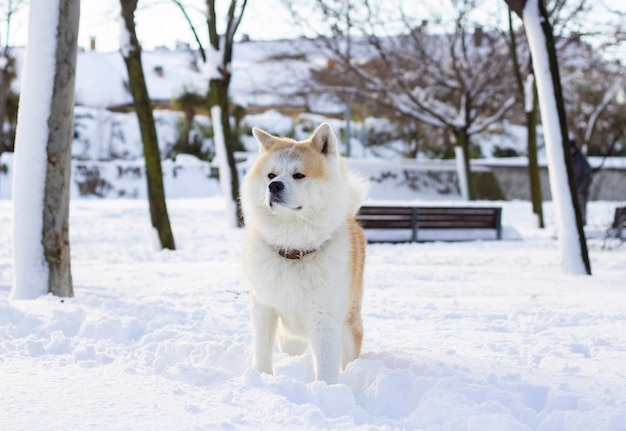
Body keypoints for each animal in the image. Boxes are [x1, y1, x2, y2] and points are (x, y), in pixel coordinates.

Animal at [238, 122, 366, 384]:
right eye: (271, 175)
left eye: (299, 175)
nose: (274, 186)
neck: (293, 249)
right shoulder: (264, 307)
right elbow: (261, 352)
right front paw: (261, 378)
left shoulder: (324, 318)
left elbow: (326, 368)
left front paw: (325, 391)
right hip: (290, 336)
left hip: (348, 321)